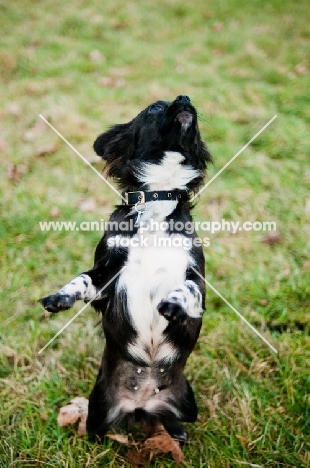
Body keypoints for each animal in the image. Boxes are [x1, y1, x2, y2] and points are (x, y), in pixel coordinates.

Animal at [40, 96, 212, 442]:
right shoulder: (107, 276)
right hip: (98, 407)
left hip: (189, 404)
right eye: (155, 108)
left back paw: (177, 433)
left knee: (173, 419)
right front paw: (60, 297)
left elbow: (184, 289)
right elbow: (81, 280)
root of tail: (141, 403)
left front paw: (172, 304)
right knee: (97, 429)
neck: (158, 201)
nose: (185, 98)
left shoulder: (196, 280)